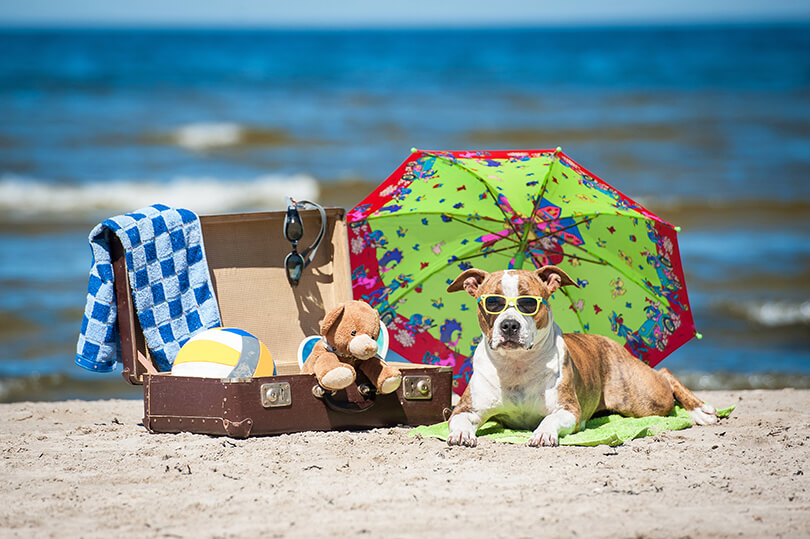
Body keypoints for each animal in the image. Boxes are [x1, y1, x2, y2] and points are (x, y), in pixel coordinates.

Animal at [446, 266, 716, 448]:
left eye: (528, 303)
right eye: (492, 303)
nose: (509, 325)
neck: (517, 364)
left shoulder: (569, 410)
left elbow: (550, 419)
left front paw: (543, 432)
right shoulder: (466, 408)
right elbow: (458, 421)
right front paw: (461, 434)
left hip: (645, 398)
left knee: (665, 374)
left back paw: (700, 410)